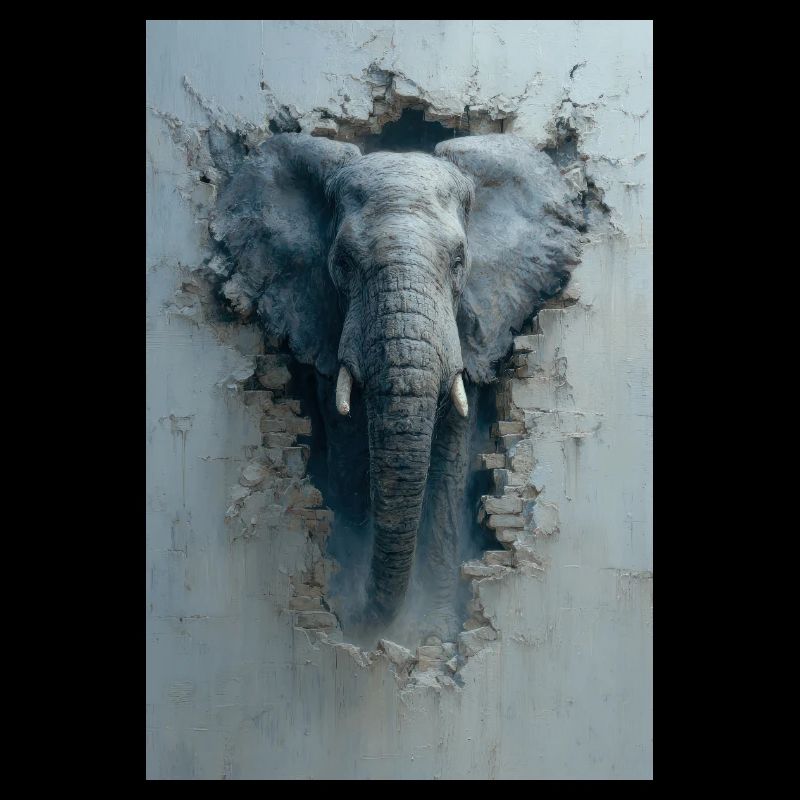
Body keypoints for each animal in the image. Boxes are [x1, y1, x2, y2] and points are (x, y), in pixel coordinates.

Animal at [209, 131, 584, 640]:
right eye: (343, 262)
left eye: (459, 261)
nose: (356, 620)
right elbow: (348, 450)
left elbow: (449, 457)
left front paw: (434, 631)